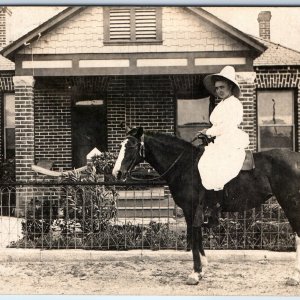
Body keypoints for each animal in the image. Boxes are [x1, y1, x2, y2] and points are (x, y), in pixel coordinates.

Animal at [112, 127, 300, 286]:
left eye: (131, 146)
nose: (117, 173)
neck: (184, 165)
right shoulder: (195, 212)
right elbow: (199, 237)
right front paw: (202, 269)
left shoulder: (191, 209)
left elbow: (194, 238)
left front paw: (195, 273)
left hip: (290, 204)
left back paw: (294, 277)